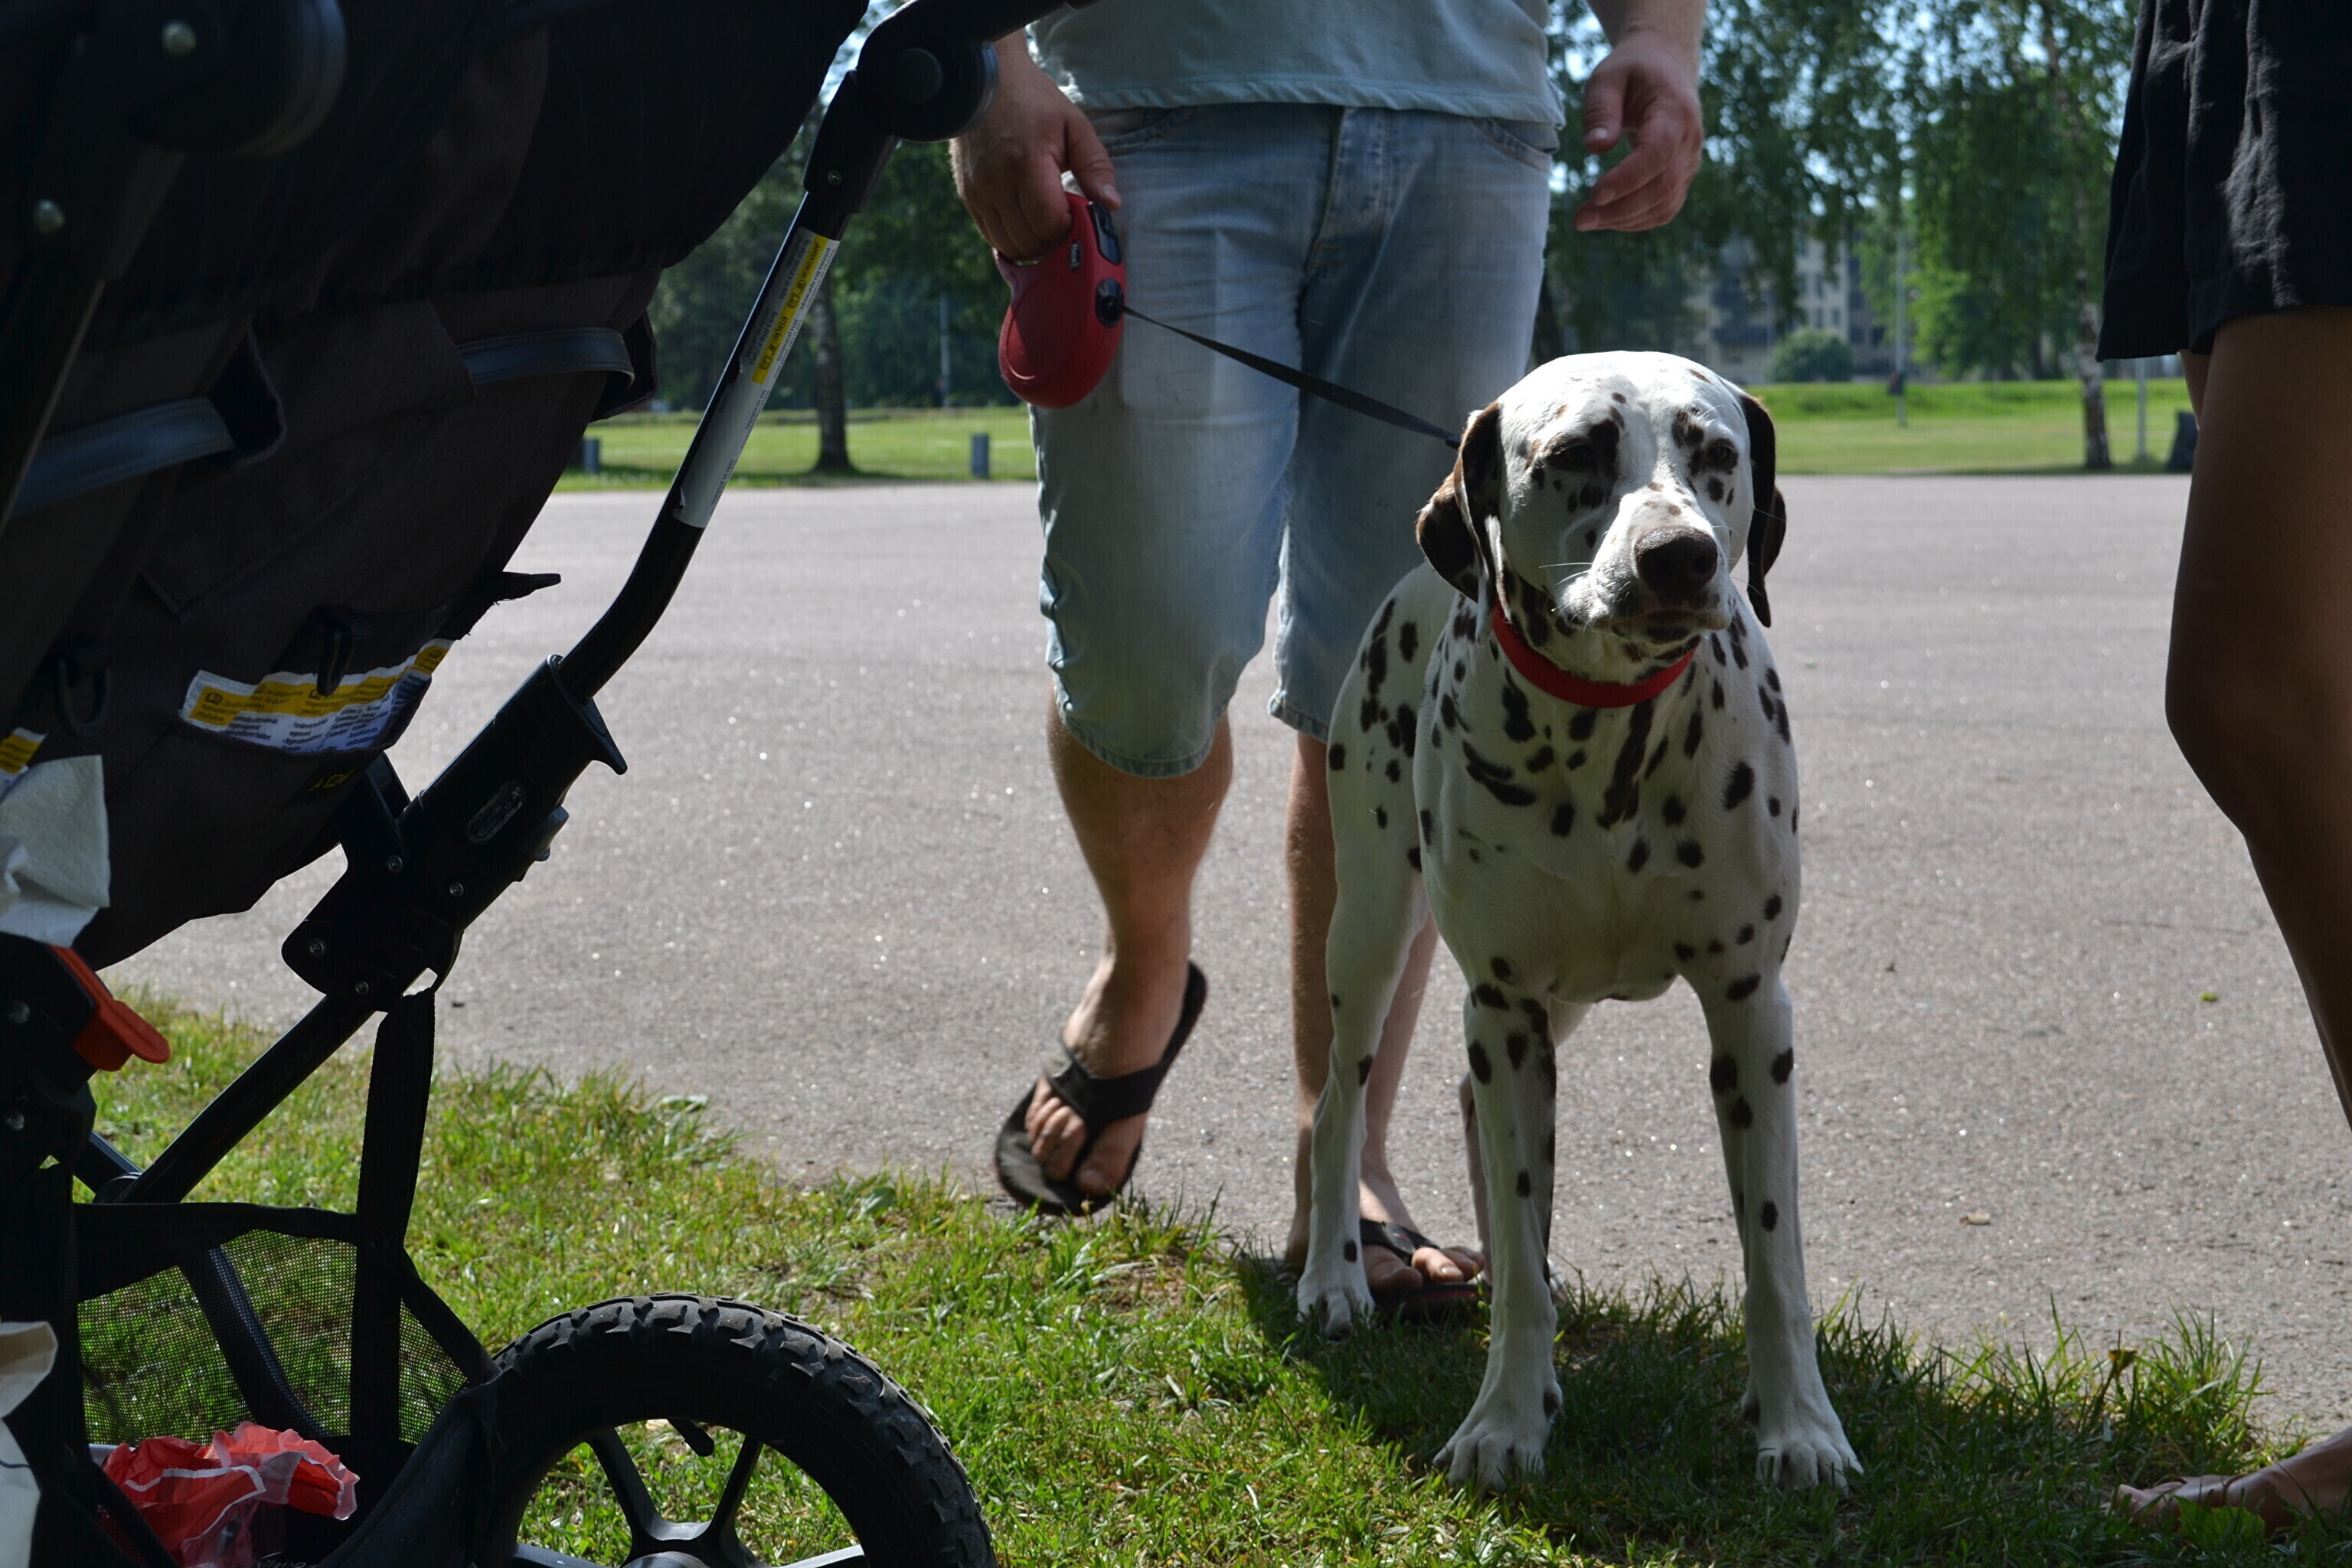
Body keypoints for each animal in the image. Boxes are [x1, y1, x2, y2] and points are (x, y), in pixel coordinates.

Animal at [1295, 351, 1858, 1491]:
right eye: (1574, 453)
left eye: (1715, 452)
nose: (1680, 555)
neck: (1610, 738)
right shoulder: (1502, 1003)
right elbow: (1515, 1258)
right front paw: (1506, 1419)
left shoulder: (1749, 1010)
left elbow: (1772, 1254)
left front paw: (1798, 1423)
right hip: (1372, 931)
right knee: (1340, 1104)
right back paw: (1336, 1279)